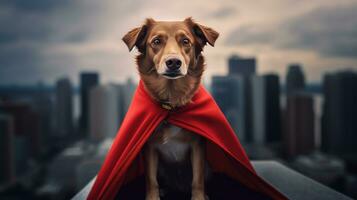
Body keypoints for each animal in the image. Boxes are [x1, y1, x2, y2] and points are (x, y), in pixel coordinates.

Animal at [121, 17, 217, 200]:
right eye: (156, 41)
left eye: (186, 41)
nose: (173, 62)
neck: (171, 105)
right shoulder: (149, 148)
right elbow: (151, 181)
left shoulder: (198, 146)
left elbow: (197, 179)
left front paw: (199, 197)